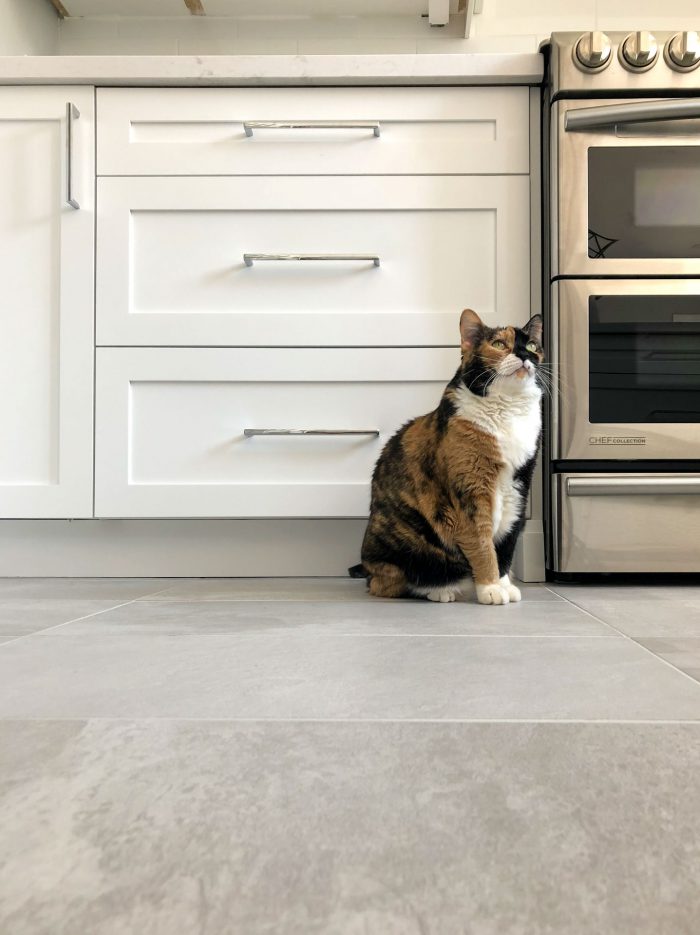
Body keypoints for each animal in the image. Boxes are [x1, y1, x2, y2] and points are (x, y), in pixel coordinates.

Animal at [352, 308, 544, 608]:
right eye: (499, 344)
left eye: (533, 345)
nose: (525, 355)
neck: (508, 410)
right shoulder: (471, 491)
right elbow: (482, 542)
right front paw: (490, 587)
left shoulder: (519, 485)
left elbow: (506, 543)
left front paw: (503, 583)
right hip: (410, 546)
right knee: (390, 584)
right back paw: (440, 591)